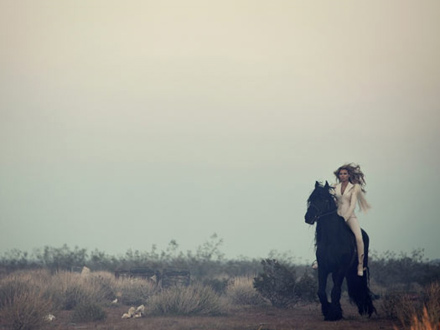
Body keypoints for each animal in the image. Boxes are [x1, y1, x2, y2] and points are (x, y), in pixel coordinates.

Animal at [306, 180, 374, 320]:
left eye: (324, 199)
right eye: (310, 199)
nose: (308, 217)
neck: (332, 240)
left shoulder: (340, 268)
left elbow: (335, 291)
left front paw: (333, 314)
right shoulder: (323, 268)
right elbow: (321, 291)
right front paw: (328, 311)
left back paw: (365, 309)